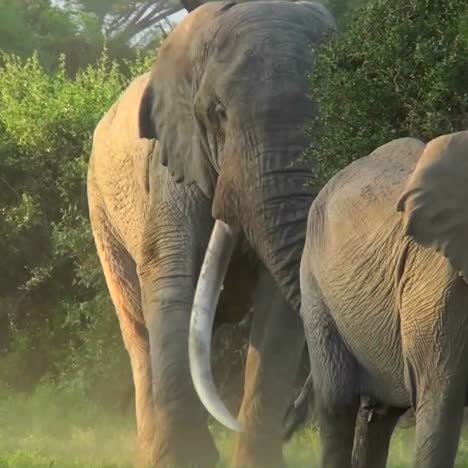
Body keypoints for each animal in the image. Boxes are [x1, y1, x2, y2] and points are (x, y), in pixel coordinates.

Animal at [87, 1, 336, 466]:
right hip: (100, 210)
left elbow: (278, 310)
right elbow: (170, 278)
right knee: (136, 330)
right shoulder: (171, 161)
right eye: (217, 113)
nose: (293, 420)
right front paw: (185, 458)